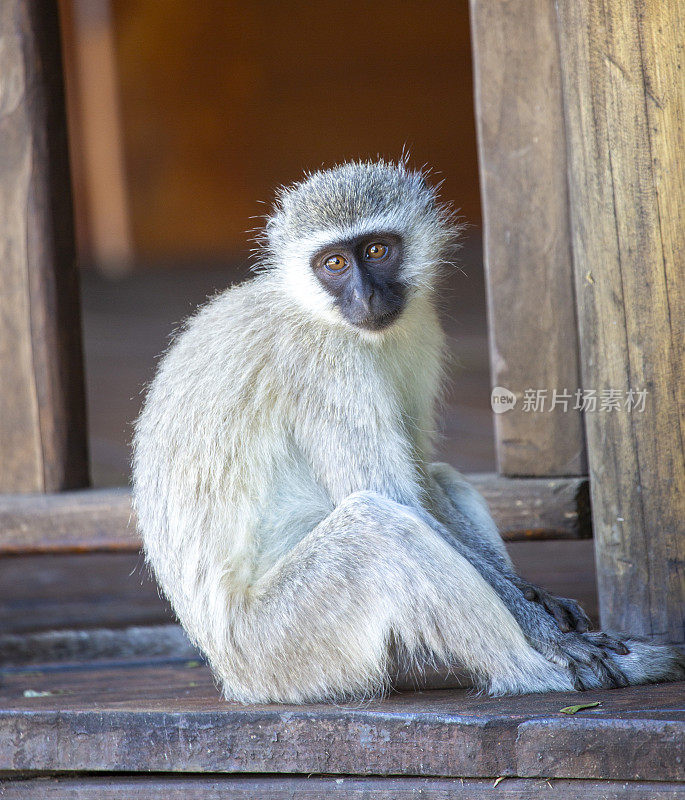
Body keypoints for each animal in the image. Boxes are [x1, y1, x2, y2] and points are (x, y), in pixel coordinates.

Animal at [131, 159, 680, 704]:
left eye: (376, 250)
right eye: (334, 263)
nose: (366, 295)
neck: (317, 310)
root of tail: (231, 674)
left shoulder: (419, 330)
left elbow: (420, 483)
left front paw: (540, 597)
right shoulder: (327, 364)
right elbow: (395, 496)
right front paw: (548, 634)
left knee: (436, 481)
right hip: (283, 649)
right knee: (379, 527)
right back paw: (536, 671)